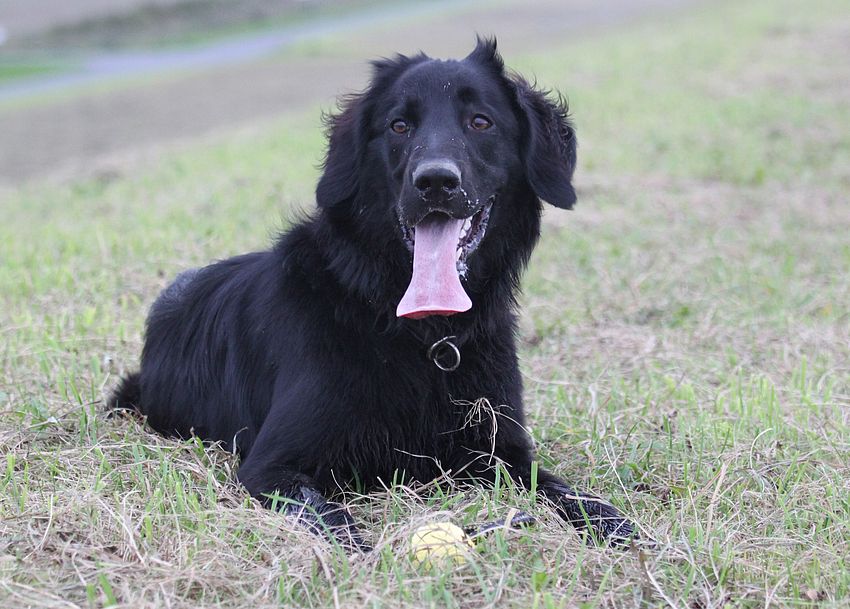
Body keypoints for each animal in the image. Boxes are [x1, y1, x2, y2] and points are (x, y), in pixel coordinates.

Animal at [110, 38, 636, 550]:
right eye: (399, 126)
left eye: (480, 121)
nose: (435, 182)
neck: (421, 332)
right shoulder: (272, 466)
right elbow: (337, 527)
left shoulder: (502, 450)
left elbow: (562, 490)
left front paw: (611, 523)